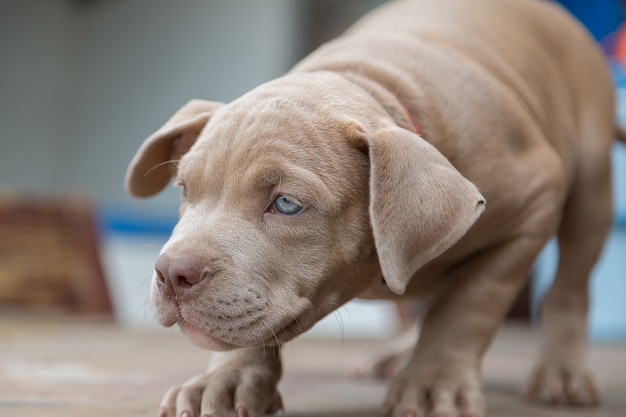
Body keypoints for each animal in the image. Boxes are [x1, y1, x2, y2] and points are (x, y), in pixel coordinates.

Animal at [124, 0, 620, 416]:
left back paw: (562, 373)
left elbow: (465, 306)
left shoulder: (534, 207)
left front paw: (432, 385)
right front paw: (226, 382)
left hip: (591, 186)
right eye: (185, 190)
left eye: (286, 203)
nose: (171, 272)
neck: (375, 86)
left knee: (569, 286)